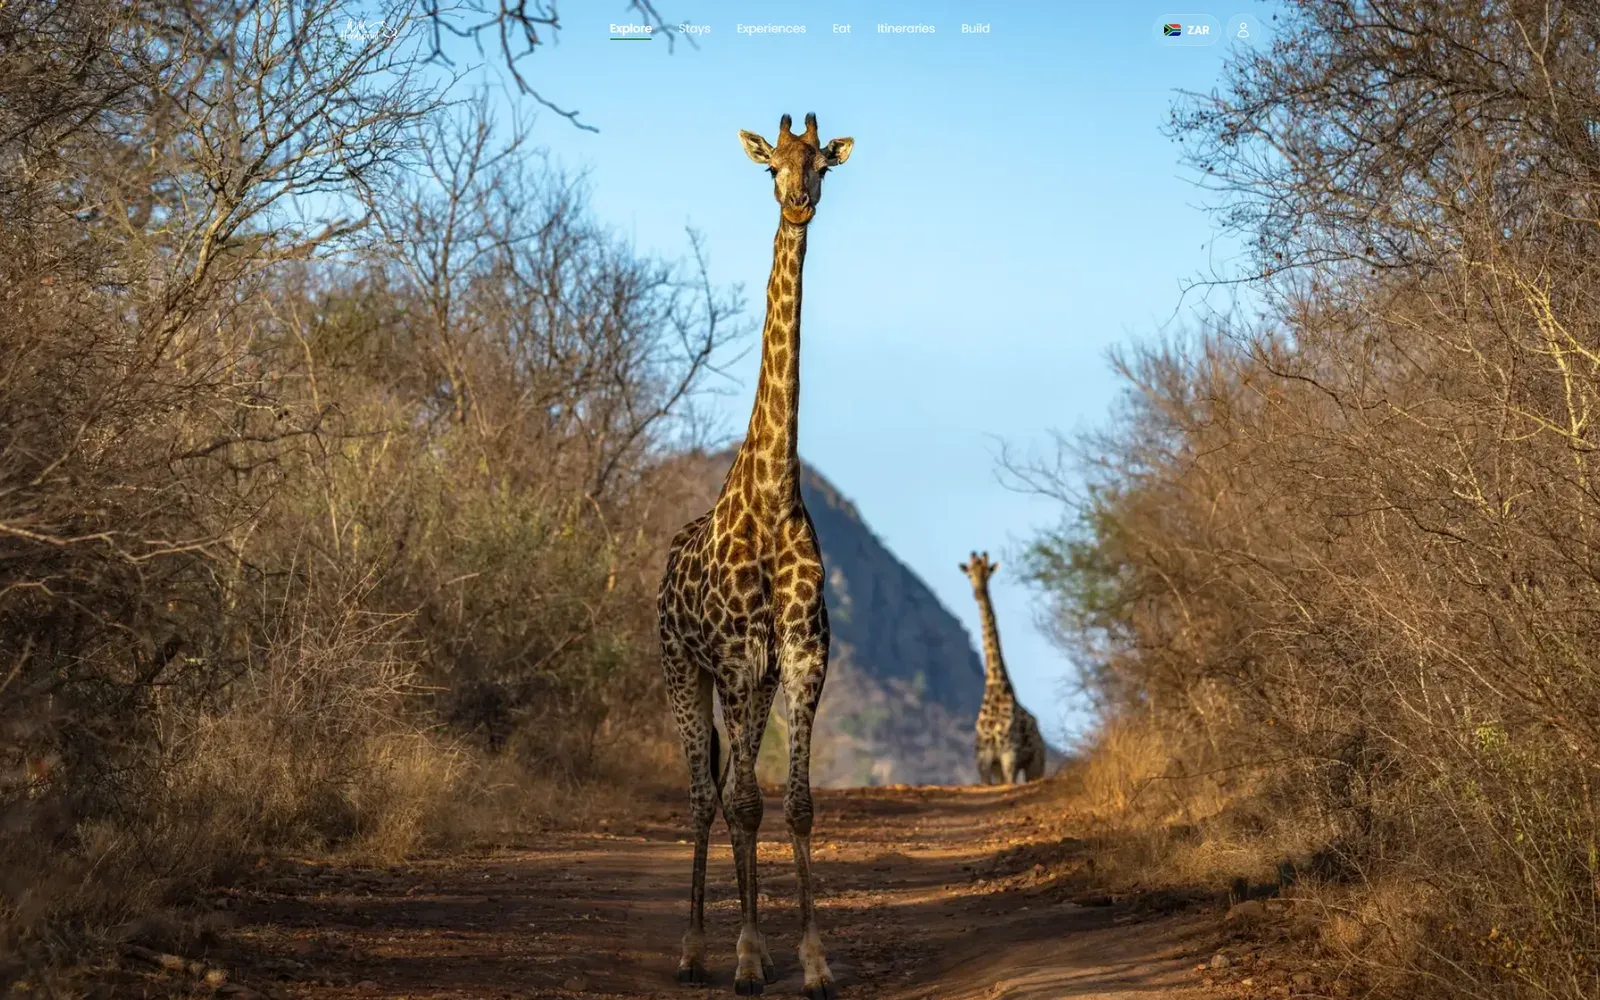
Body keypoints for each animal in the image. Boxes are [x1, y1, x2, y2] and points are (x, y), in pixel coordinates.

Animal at [960, 551, 1046, 786]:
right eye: (969, 574)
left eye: (988, 573)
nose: (978, 593)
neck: (994, 688)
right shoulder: (984, 760)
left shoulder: (1009, 755)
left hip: (1036, 763)